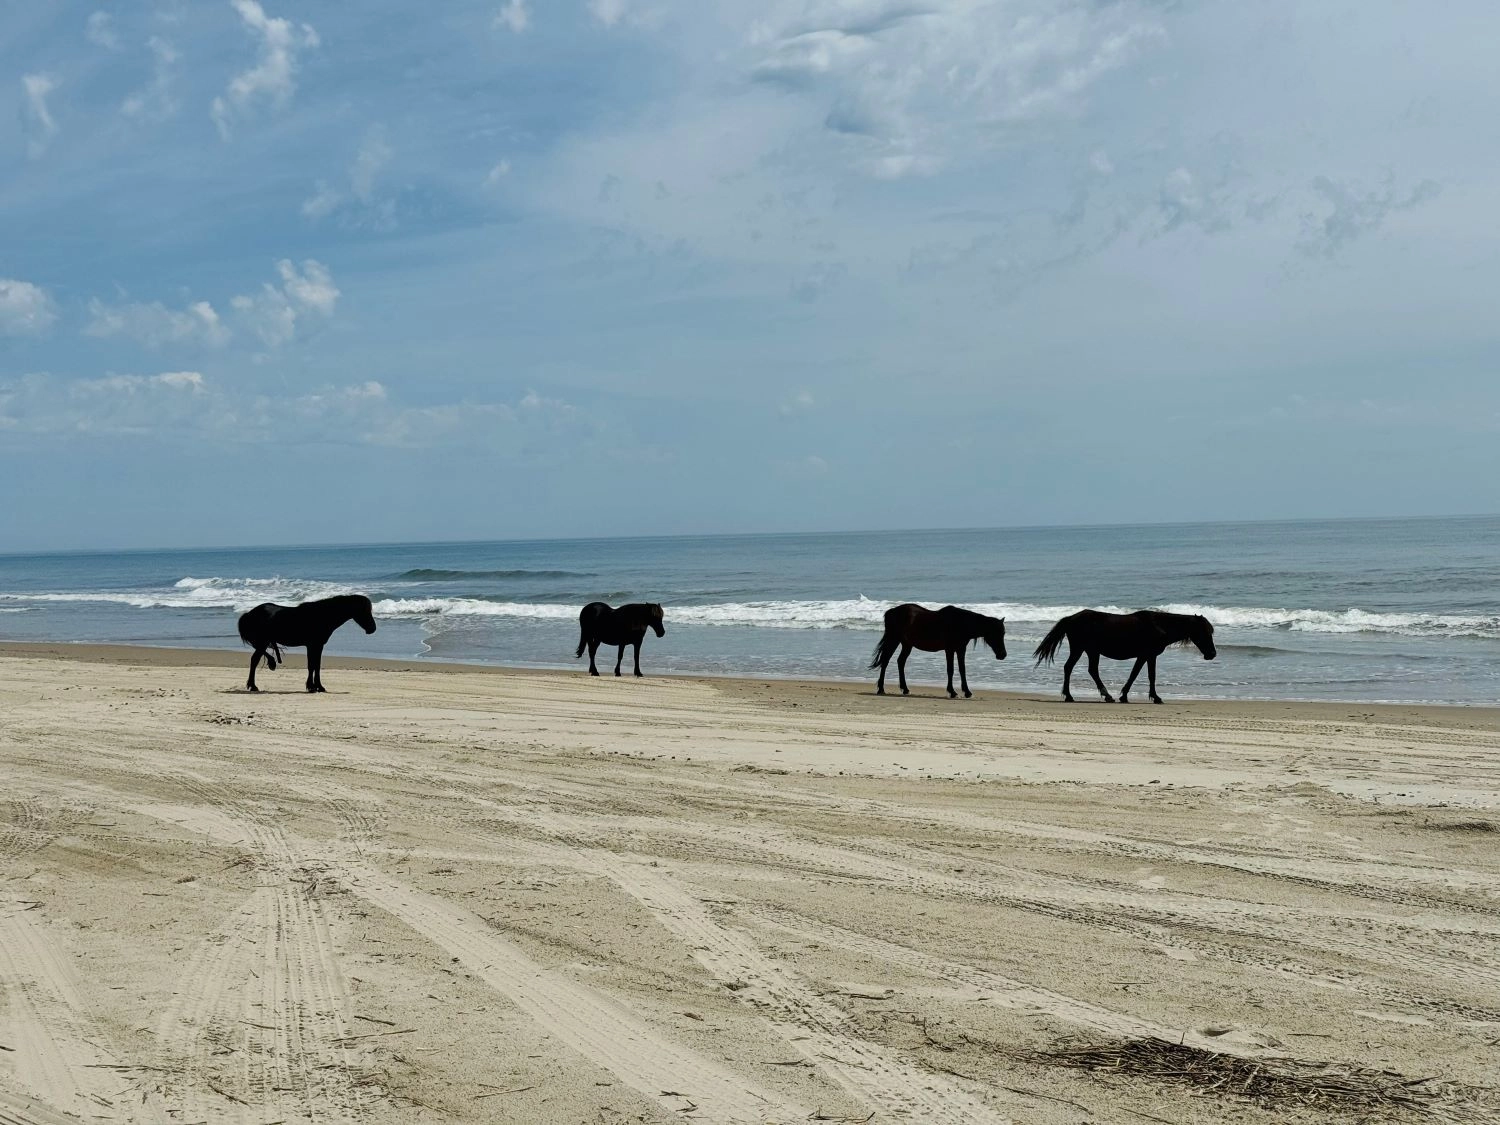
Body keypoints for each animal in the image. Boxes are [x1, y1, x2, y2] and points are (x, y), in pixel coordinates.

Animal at [236, 594, 377, 693]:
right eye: (363, 610)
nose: (372, 629)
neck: (323, 616)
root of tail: (249, 613)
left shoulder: (319, 646)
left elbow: (316, 666)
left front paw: (319, 687)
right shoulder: (312, 645)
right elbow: (311, 666)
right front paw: (311, 687)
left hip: (263, 642)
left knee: (255, 659)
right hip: (263, 642)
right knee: (255, 660)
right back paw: (255, 683)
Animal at [869, 604, 1007, 698]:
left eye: (1003, 633)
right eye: (996, 633)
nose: (1003, 655)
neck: (961, 624)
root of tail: (892, 611)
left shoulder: (961, 649)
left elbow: (962, 670)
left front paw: (967, 692)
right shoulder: (949, 649)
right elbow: (950, 670)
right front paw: (952, 692)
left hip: (907, 644)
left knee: (900, 662)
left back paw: (905, 689)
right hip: (894, 639)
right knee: (885, 660)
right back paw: (881, 689)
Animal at [1033, 609, 1216, 704]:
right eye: (1204, 632)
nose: (1212, 654)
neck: (1159, 626)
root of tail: (1071, 618)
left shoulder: (1147, 656)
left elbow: (1143, 675)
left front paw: (1130, 696)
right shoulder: (1147, 655)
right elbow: (1142, 675)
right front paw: (1151, 697)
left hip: (1090, 651)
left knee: (1088, 670)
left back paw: (1103, 696)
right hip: (1082, 649)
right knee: (1072, 668)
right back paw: (1074, 696)